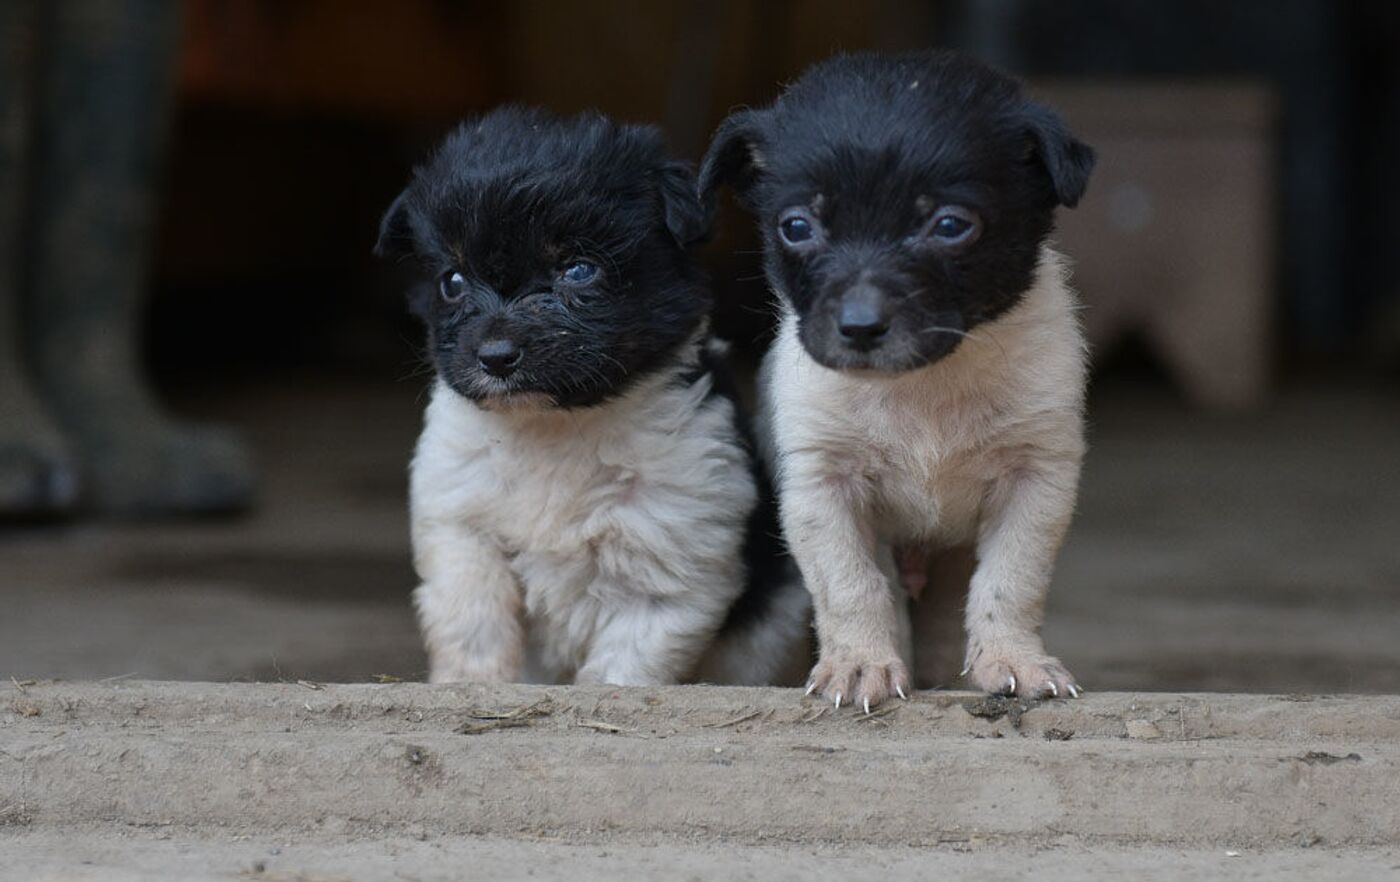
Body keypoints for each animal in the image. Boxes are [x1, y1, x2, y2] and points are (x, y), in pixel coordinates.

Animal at [375, 109, 812, 691]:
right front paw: (470, 687)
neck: (554, 426)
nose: (494, 357)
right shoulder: (461, 527)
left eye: (580, 270)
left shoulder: (667, 566)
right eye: (453, 280)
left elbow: (619, 670)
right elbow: (473, 622)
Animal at [700, 50, 1092, 711]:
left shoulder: (1037, 476)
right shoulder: (823, 484)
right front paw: (860, 665)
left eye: (951, 225)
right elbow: (850, 585)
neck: (923, 386)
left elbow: (1012, 580)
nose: (860, 327)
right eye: (797, 227)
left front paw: (1014, 660)